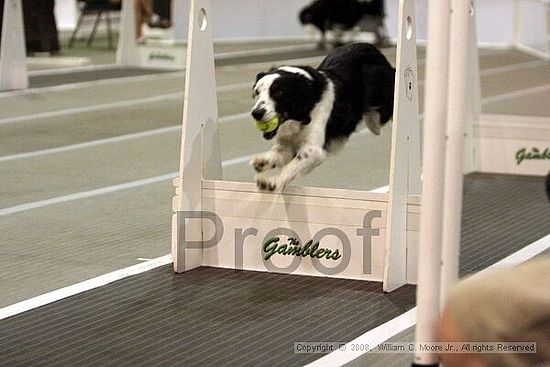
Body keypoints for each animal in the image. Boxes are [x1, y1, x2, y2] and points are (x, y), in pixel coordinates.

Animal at [250, 42, 396, 193]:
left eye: (279, 93)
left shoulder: (314, 150)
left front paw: (272, 182)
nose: (256, 113)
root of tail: (374, 50)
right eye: (256, 92)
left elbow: (291, 166)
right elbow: (277, 154)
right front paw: (262, 162)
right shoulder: (287, 145)